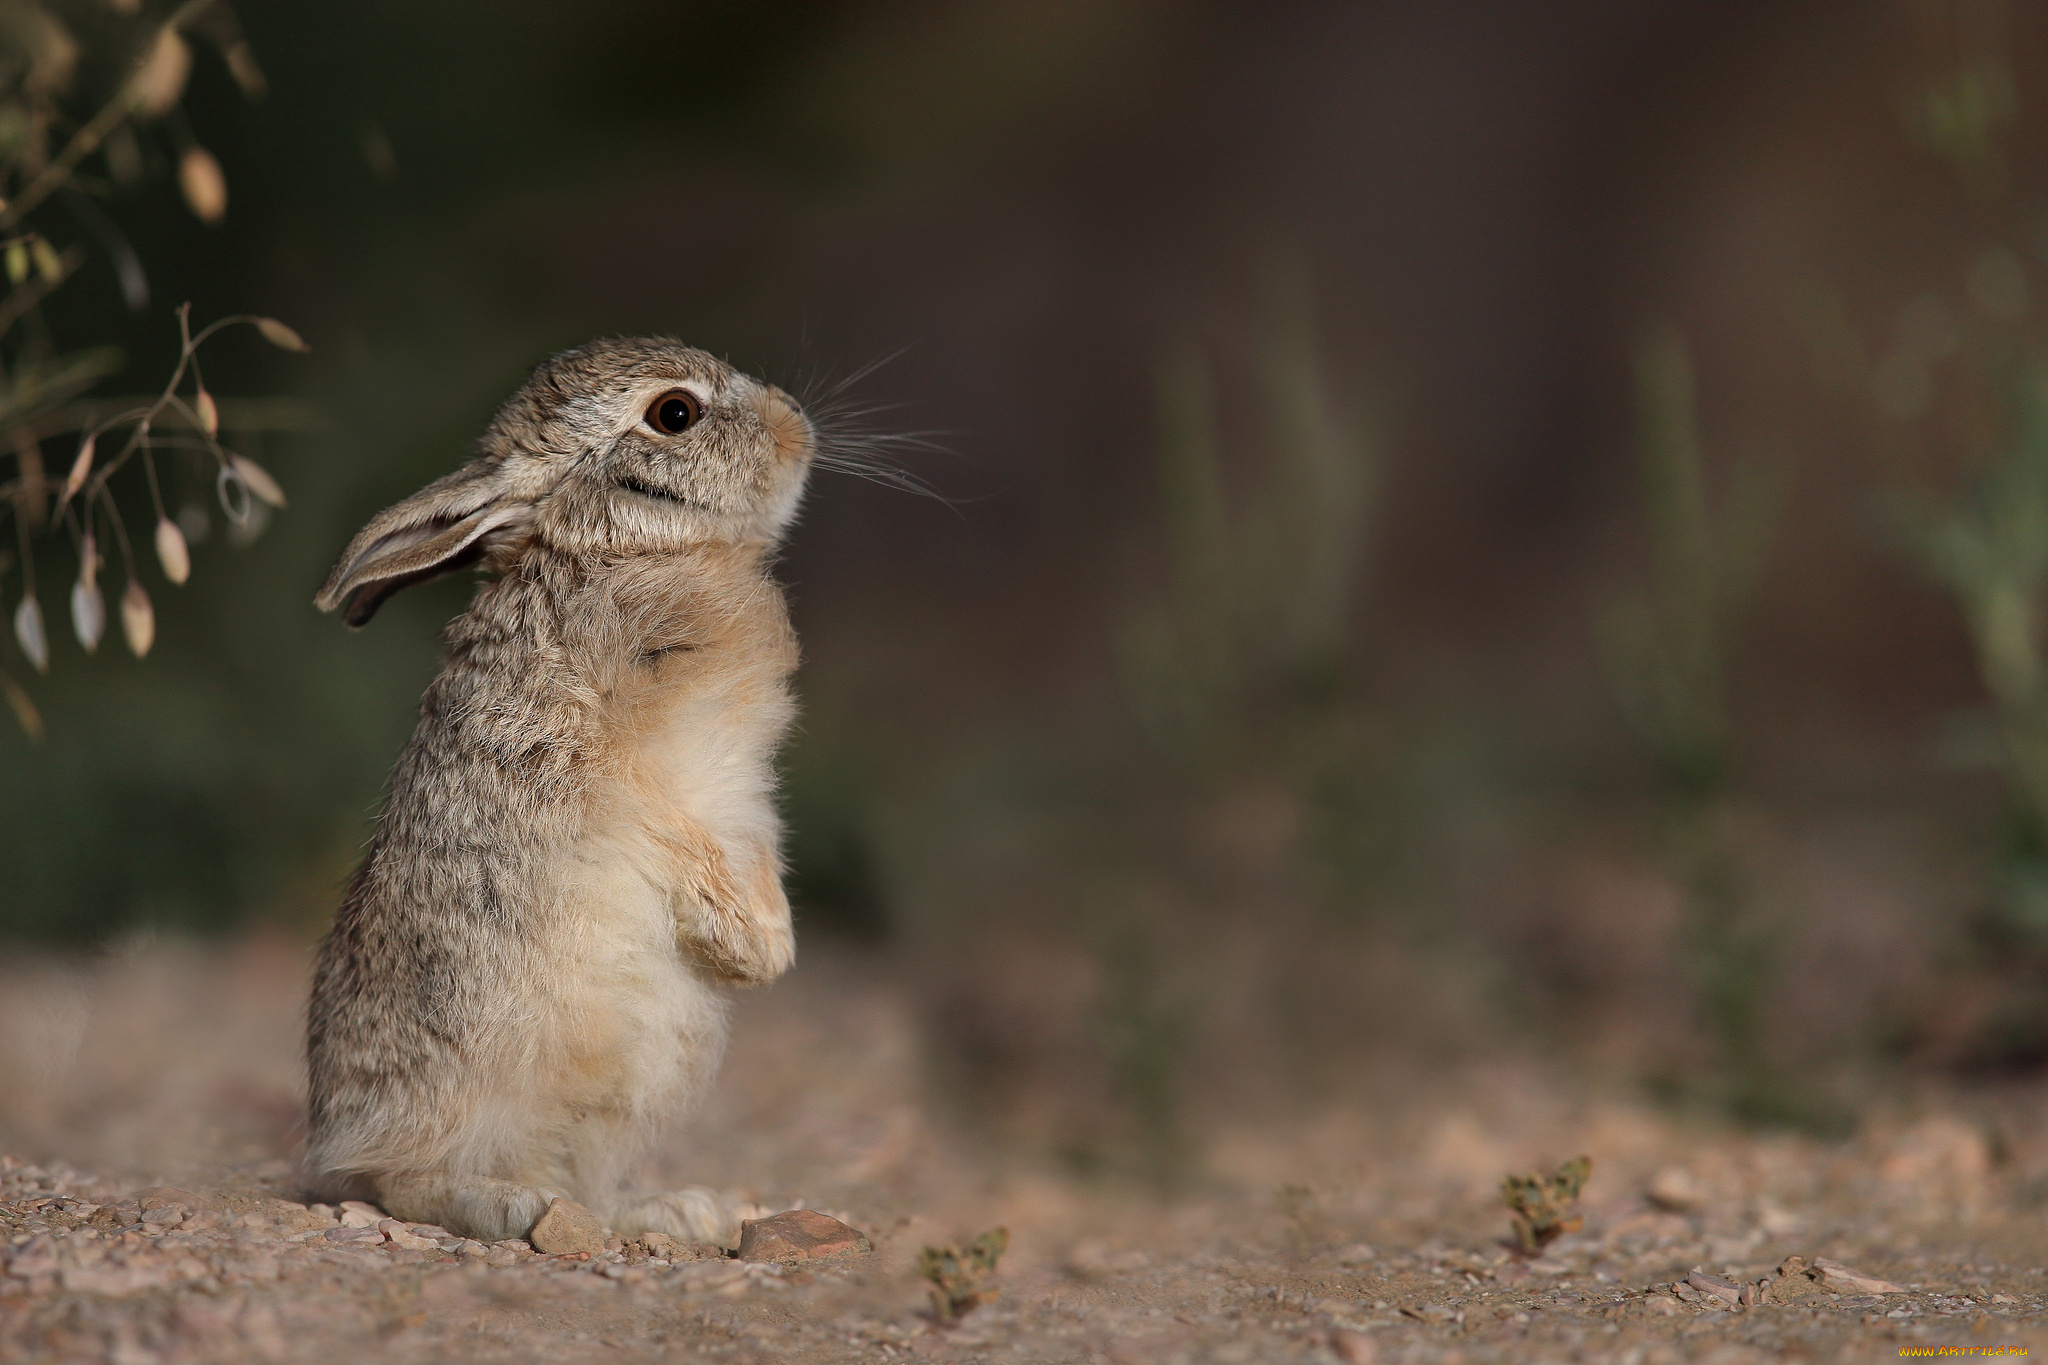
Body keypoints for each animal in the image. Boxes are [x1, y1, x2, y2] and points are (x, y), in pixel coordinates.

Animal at [305, 335, 815, 1244]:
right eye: (675, 413)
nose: (797, 423)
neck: (624, 550)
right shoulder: (609, 773)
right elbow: (672, 836)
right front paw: (755, 951)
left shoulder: (744, 800)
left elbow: (751, 850)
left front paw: (766, 949)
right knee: (399, 1180)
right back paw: (510, 1203)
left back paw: (673, 1210)